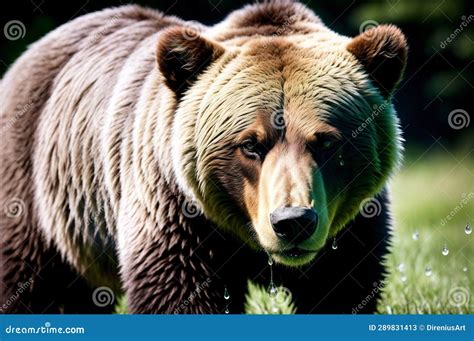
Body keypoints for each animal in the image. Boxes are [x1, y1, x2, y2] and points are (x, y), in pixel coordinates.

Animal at [0, 1, 408, 312]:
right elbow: (178, 292)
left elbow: (343, 288)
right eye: (250, 144)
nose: (293, 222)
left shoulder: (349, 229)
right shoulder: (176, 211)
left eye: (325, 142)